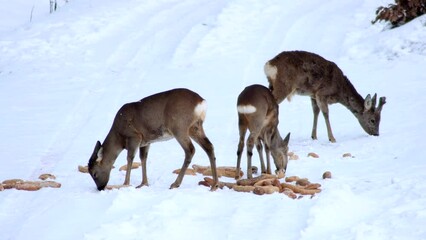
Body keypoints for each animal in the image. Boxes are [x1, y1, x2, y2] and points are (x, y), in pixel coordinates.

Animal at [88, 88, 218, 191]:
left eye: (94, 174)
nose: (100, 188)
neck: (118, 136)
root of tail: (201, 102)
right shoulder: (146, 141)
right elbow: (143, 158)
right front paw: (143, 183)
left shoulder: (134, 136)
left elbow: (130, 158)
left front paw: (126, 183)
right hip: (195, 127)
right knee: (209, 146)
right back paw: (214, 185)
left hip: (179, 126)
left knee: (190, 150)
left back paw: (175, 184)